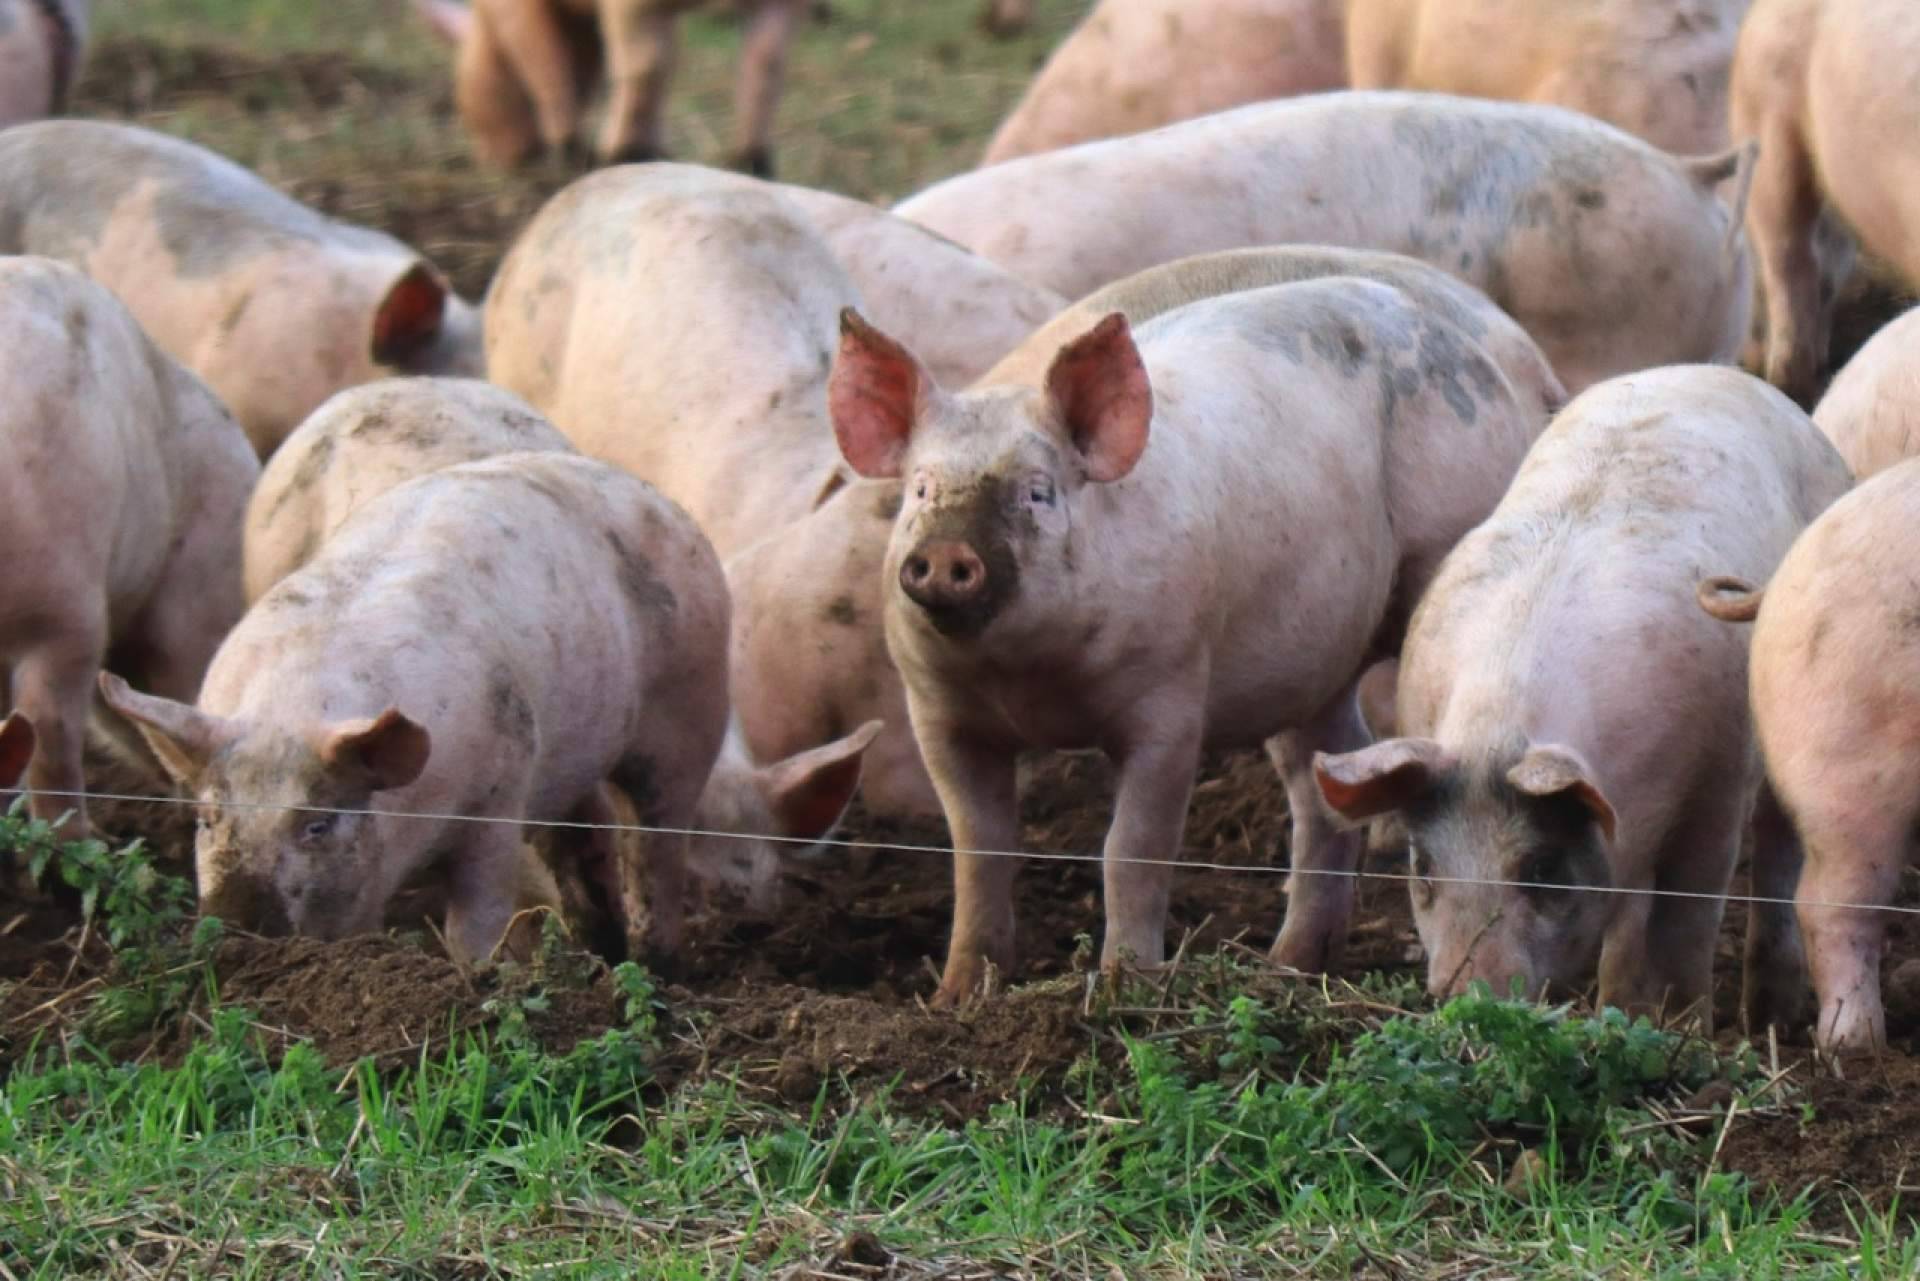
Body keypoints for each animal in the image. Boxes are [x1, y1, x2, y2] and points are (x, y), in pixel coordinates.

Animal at [101, 453, 731, 964]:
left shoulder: (500, 792)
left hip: (690, 709)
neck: (294, 710)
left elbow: (476, 919)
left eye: (316, 825)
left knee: (654, 847)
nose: (236, 931)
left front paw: (481, 977)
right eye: (208, 819)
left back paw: (656, 965)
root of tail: (656, 499)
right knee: (582, 844)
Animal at [828, 274, 1544, 1005]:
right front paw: (957, 996)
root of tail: (1471, 349)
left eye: (1038, 492)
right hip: (1309, 660)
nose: (946, 552)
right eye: (920, 490)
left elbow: (1131, 847)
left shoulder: (1168, 696)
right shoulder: (937, 711)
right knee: (1326, 772)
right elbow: (978, 850)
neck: (1028, 681)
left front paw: (1126, 989)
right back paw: (1286, 964)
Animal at [1315, 366, 1850, 1030]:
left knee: (1778, 851)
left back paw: (1767, 1017)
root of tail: (1716, 373)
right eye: (1424, 867)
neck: (1499, 727)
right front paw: (1624, 1014)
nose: (1469, 997)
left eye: (1542, 867)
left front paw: (1689, 1026)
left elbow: (1690, 918)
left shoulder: (1719, 785)